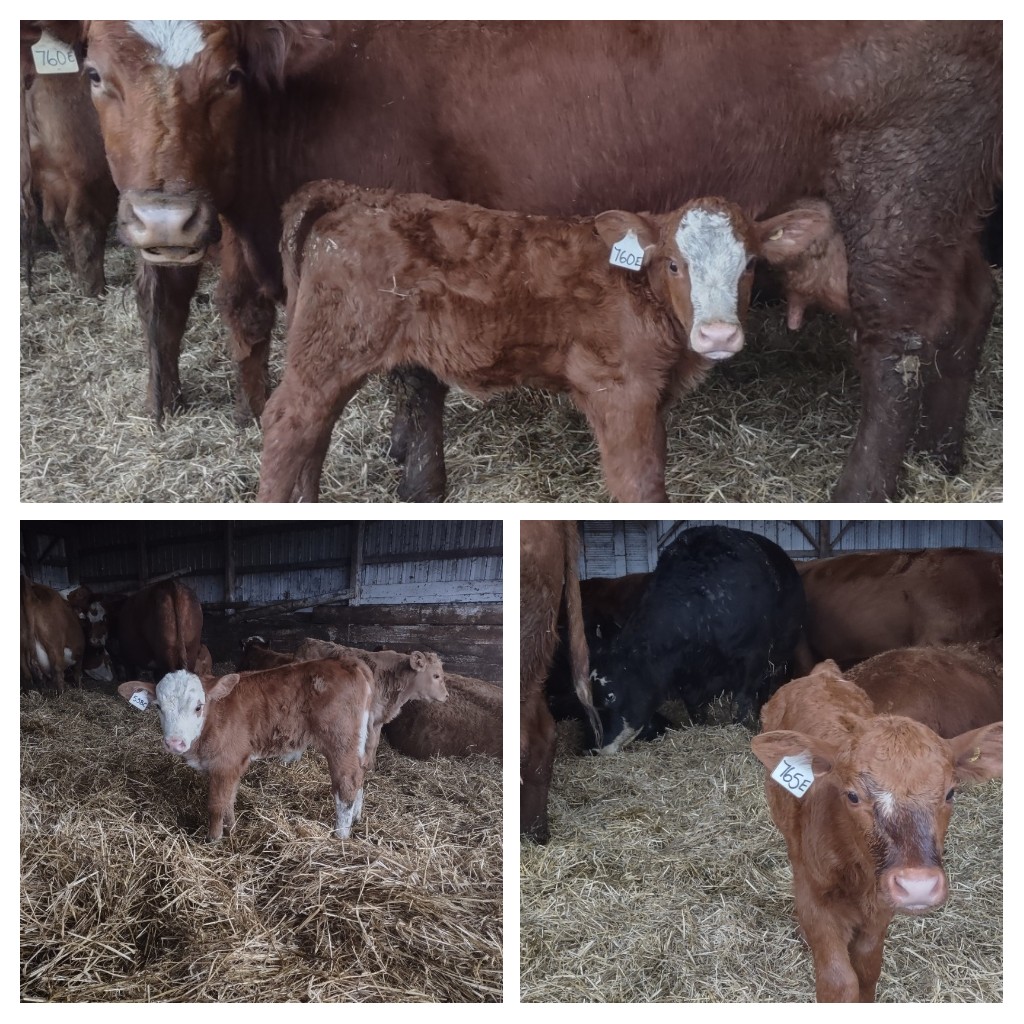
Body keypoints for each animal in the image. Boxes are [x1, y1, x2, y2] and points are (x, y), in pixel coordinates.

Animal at [20, 31, 117, 297]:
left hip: (49, 172)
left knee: (53, 219)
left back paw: (76, 279)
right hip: (91, 168)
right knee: (83, 220)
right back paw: (95, 288)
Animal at [117, 657, 379, 840]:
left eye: (198, 707)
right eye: (158, 707)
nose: (174, 742)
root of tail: (349, 662)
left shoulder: (225, 763)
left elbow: (216, 805)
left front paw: (213, 840)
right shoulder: (234, 764)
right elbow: (229, 800)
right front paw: (232, 829)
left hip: (340, 742)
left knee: (346, 785)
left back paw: (341, 835)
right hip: (358, 743)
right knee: (360, 775)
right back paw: (356, 818)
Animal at [258, 185, 830, 502]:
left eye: (751, 263)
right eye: (673, 263)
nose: (718, 333)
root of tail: (357, 200)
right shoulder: (618, 389)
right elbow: (639, 480)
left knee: (314, 431)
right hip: (333, 344)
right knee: (288, 422)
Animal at [590, 526, 805, 753]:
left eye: (611, 696)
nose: (597, 748)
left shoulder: (752, 657)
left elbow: (740, 703)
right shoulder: (687, 676)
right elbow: (695, 708)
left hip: (780, 656)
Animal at [751, 661, 1002, 1002]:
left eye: (951, 792)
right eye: (852, 795)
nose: (918, 885)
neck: (856, 869)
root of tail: (821, 675)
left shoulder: (881, 903)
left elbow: (868, 968)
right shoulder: (814, 896)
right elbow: (838, 982)